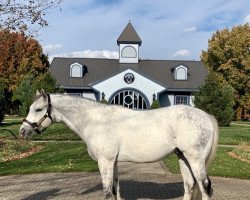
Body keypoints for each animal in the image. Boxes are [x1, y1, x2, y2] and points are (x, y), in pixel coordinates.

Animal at [19, 90, 218, 200]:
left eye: (38, 109)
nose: (22, 131)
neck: (96, 121)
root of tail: (206, 116)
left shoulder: (105, 161)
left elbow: (107, 192)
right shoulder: (112, 162)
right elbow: (115, 190)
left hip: (195, 159)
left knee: (205, 187)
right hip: (183, 157)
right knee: (190, 186)